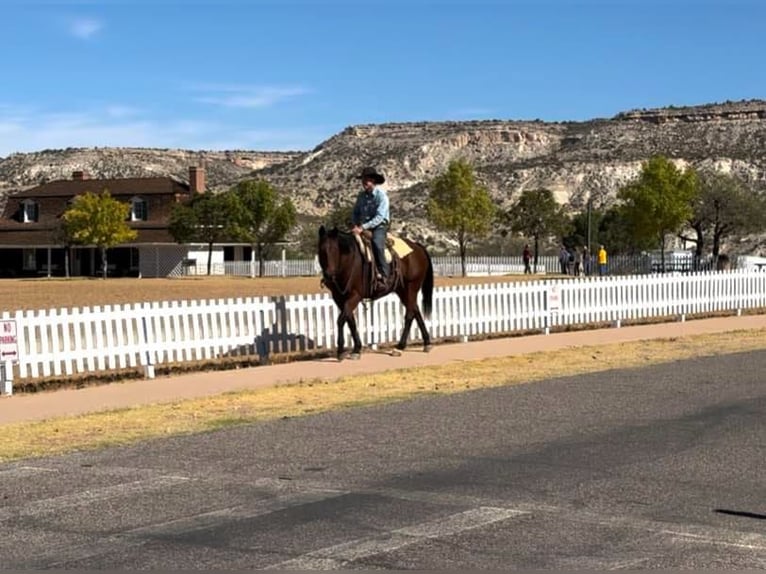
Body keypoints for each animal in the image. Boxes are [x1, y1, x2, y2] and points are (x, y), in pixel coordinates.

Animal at [317, 225, 434, 360]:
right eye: (321, 250)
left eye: (336, 250)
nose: (329, 276)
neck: (349, 261)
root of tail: (418, 247)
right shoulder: (339, 298)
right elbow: (351, 320)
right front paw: (356, 349)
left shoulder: (355, 296)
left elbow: (341, 320)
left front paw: (341, 351)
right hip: (402, 290)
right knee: (416, 311)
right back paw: (426, 343)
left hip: (411, 288)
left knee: (410, 314)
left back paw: (399, 347)